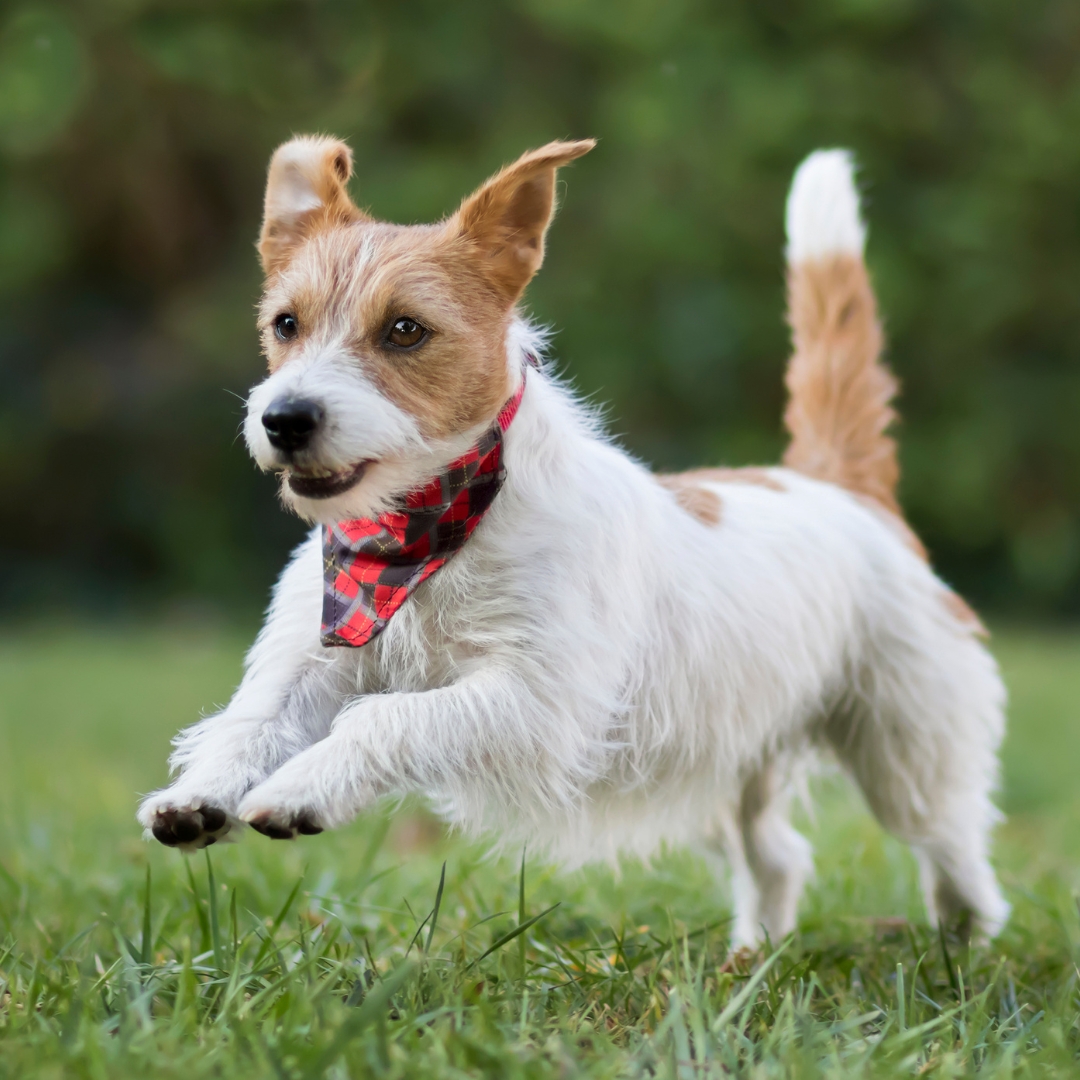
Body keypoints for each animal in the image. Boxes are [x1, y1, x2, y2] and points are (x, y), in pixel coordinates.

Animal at [137, 137, 1010, 946]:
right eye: (285, 324)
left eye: (405, 330)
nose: (284, 419)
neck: (421, 537)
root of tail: (836, 485)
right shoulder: (312, 663)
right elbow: (251, 723)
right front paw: (199, 796)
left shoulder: (535, 701)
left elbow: (382, 720)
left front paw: (299, 789)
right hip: (725, 761)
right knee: (779, 856)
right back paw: (753, 956)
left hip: (906, 746)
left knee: (950, 840)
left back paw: (964, 938)